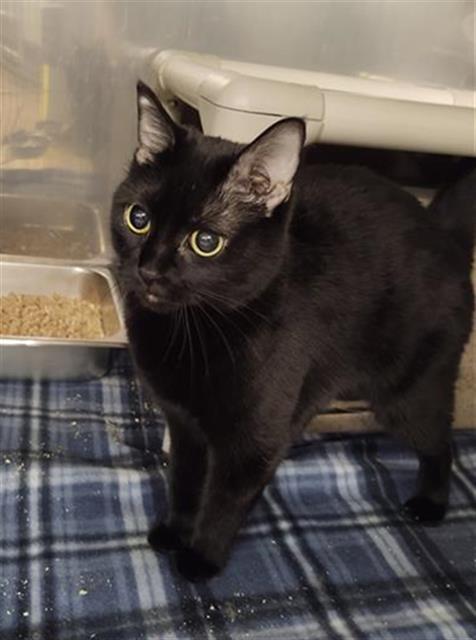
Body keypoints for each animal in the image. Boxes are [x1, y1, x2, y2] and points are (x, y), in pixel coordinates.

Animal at [110, 80, 472, 580]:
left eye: (206, 242)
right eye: (138, 218)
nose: (148, 271)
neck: (196, 331)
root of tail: (442, 233)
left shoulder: (252, 442)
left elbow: (223, 502)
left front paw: (201, 557)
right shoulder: (183, 424)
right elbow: (183, 481)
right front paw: (174, 530)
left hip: (409, 391)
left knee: (441, 442)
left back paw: (431, 504)